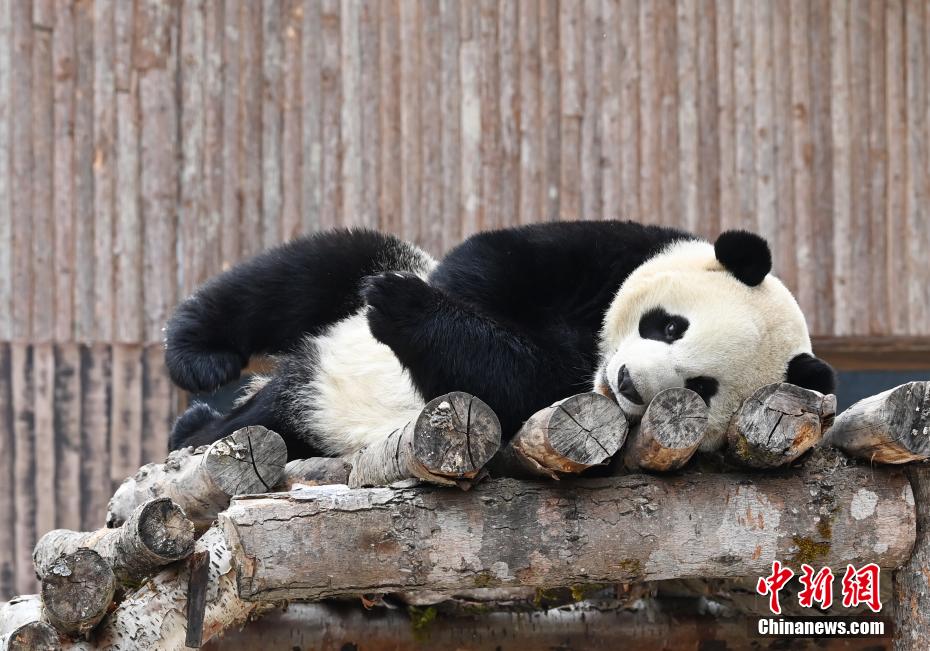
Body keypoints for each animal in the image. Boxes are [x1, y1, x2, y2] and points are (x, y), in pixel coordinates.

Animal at [165, 222, 832, 460]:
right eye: (669, 326)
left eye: (701, 388)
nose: (626, 382)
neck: (591, 363)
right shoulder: (612, 253)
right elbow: (499, 260)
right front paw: (426, 298)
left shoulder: (550, 399)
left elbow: (515, 386)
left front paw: (412, 312)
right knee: (305, 274)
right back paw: (199, 364)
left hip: (307, 429)